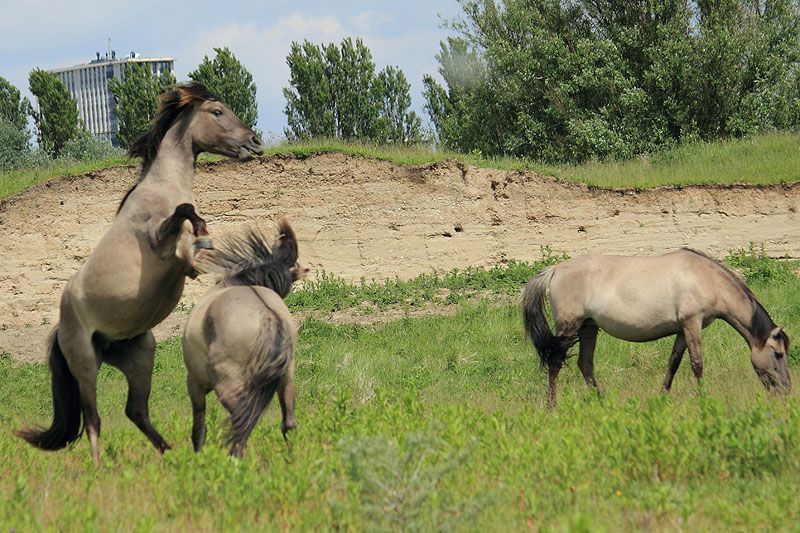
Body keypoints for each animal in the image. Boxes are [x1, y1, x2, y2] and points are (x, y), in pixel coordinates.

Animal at [18, 82, 266, 462]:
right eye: (218, 112)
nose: (254, 142)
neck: (162, 187)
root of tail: (61, 327)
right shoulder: (158, 240)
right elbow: (186, 212)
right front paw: (202, 240)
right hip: (85, 363)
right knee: (93, 419)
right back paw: (101, 467)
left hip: (140, 355)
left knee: (135, 410)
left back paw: (170, 453)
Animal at [183, 220, 302, 458]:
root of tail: (269, 316)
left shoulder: (195, 382)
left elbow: (199, 428)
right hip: (287, 379)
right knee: (288, 424)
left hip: (229, 386)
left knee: (241, 426)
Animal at [520, 247, 792, 406]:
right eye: (777, 354)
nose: (786, 390)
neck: (706, 278)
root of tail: (554, 270)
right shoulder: (692, 323)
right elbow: (697, 364)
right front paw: (703, 399)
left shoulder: (683, 330)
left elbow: (673, 362)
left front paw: (663, 396)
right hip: (569, 326)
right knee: (556, 362)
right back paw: (552, 406)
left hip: (589, 327)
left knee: (585, 364)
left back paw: (601, 402)